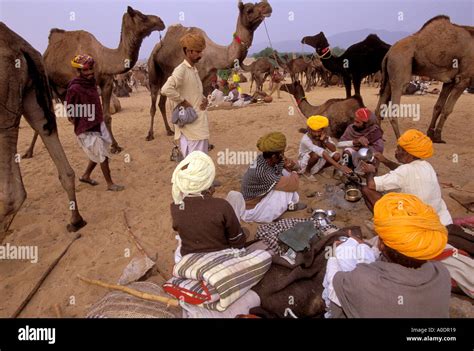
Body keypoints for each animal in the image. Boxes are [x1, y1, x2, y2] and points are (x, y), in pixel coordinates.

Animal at [22, 5, 167, 157]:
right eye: (141, 15)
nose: (160, 21)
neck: (102, 59)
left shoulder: (106, 83)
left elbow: (106, 116)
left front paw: (114, 146)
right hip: (47, 85)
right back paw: (29, 151)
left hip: (61, 90)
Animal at [146, 0, 272, 140]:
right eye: (249, 10)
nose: (266, 5)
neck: (212, 56)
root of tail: (157, 48)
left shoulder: (207, 82)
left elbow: (204, 107)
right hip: (153, 73)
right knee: (153, 103)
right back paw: (150, 134)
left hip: (165, 77)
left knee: (161, 103)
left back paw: (169, 130)